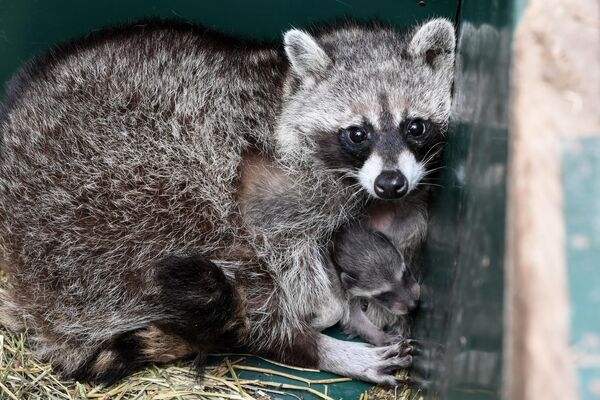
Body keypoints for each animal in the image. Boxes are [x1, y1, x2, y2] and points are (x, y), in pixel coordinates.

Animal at [0, 18, 454, 384]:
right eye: (357, 134)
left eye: (415, 127)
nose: (391, 184)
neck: (282, 89)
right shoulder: (269, 182)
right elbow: (279, 250)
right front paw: (326, 311)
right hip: (118, 195)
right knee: (227, 263)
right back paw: (309, 343)